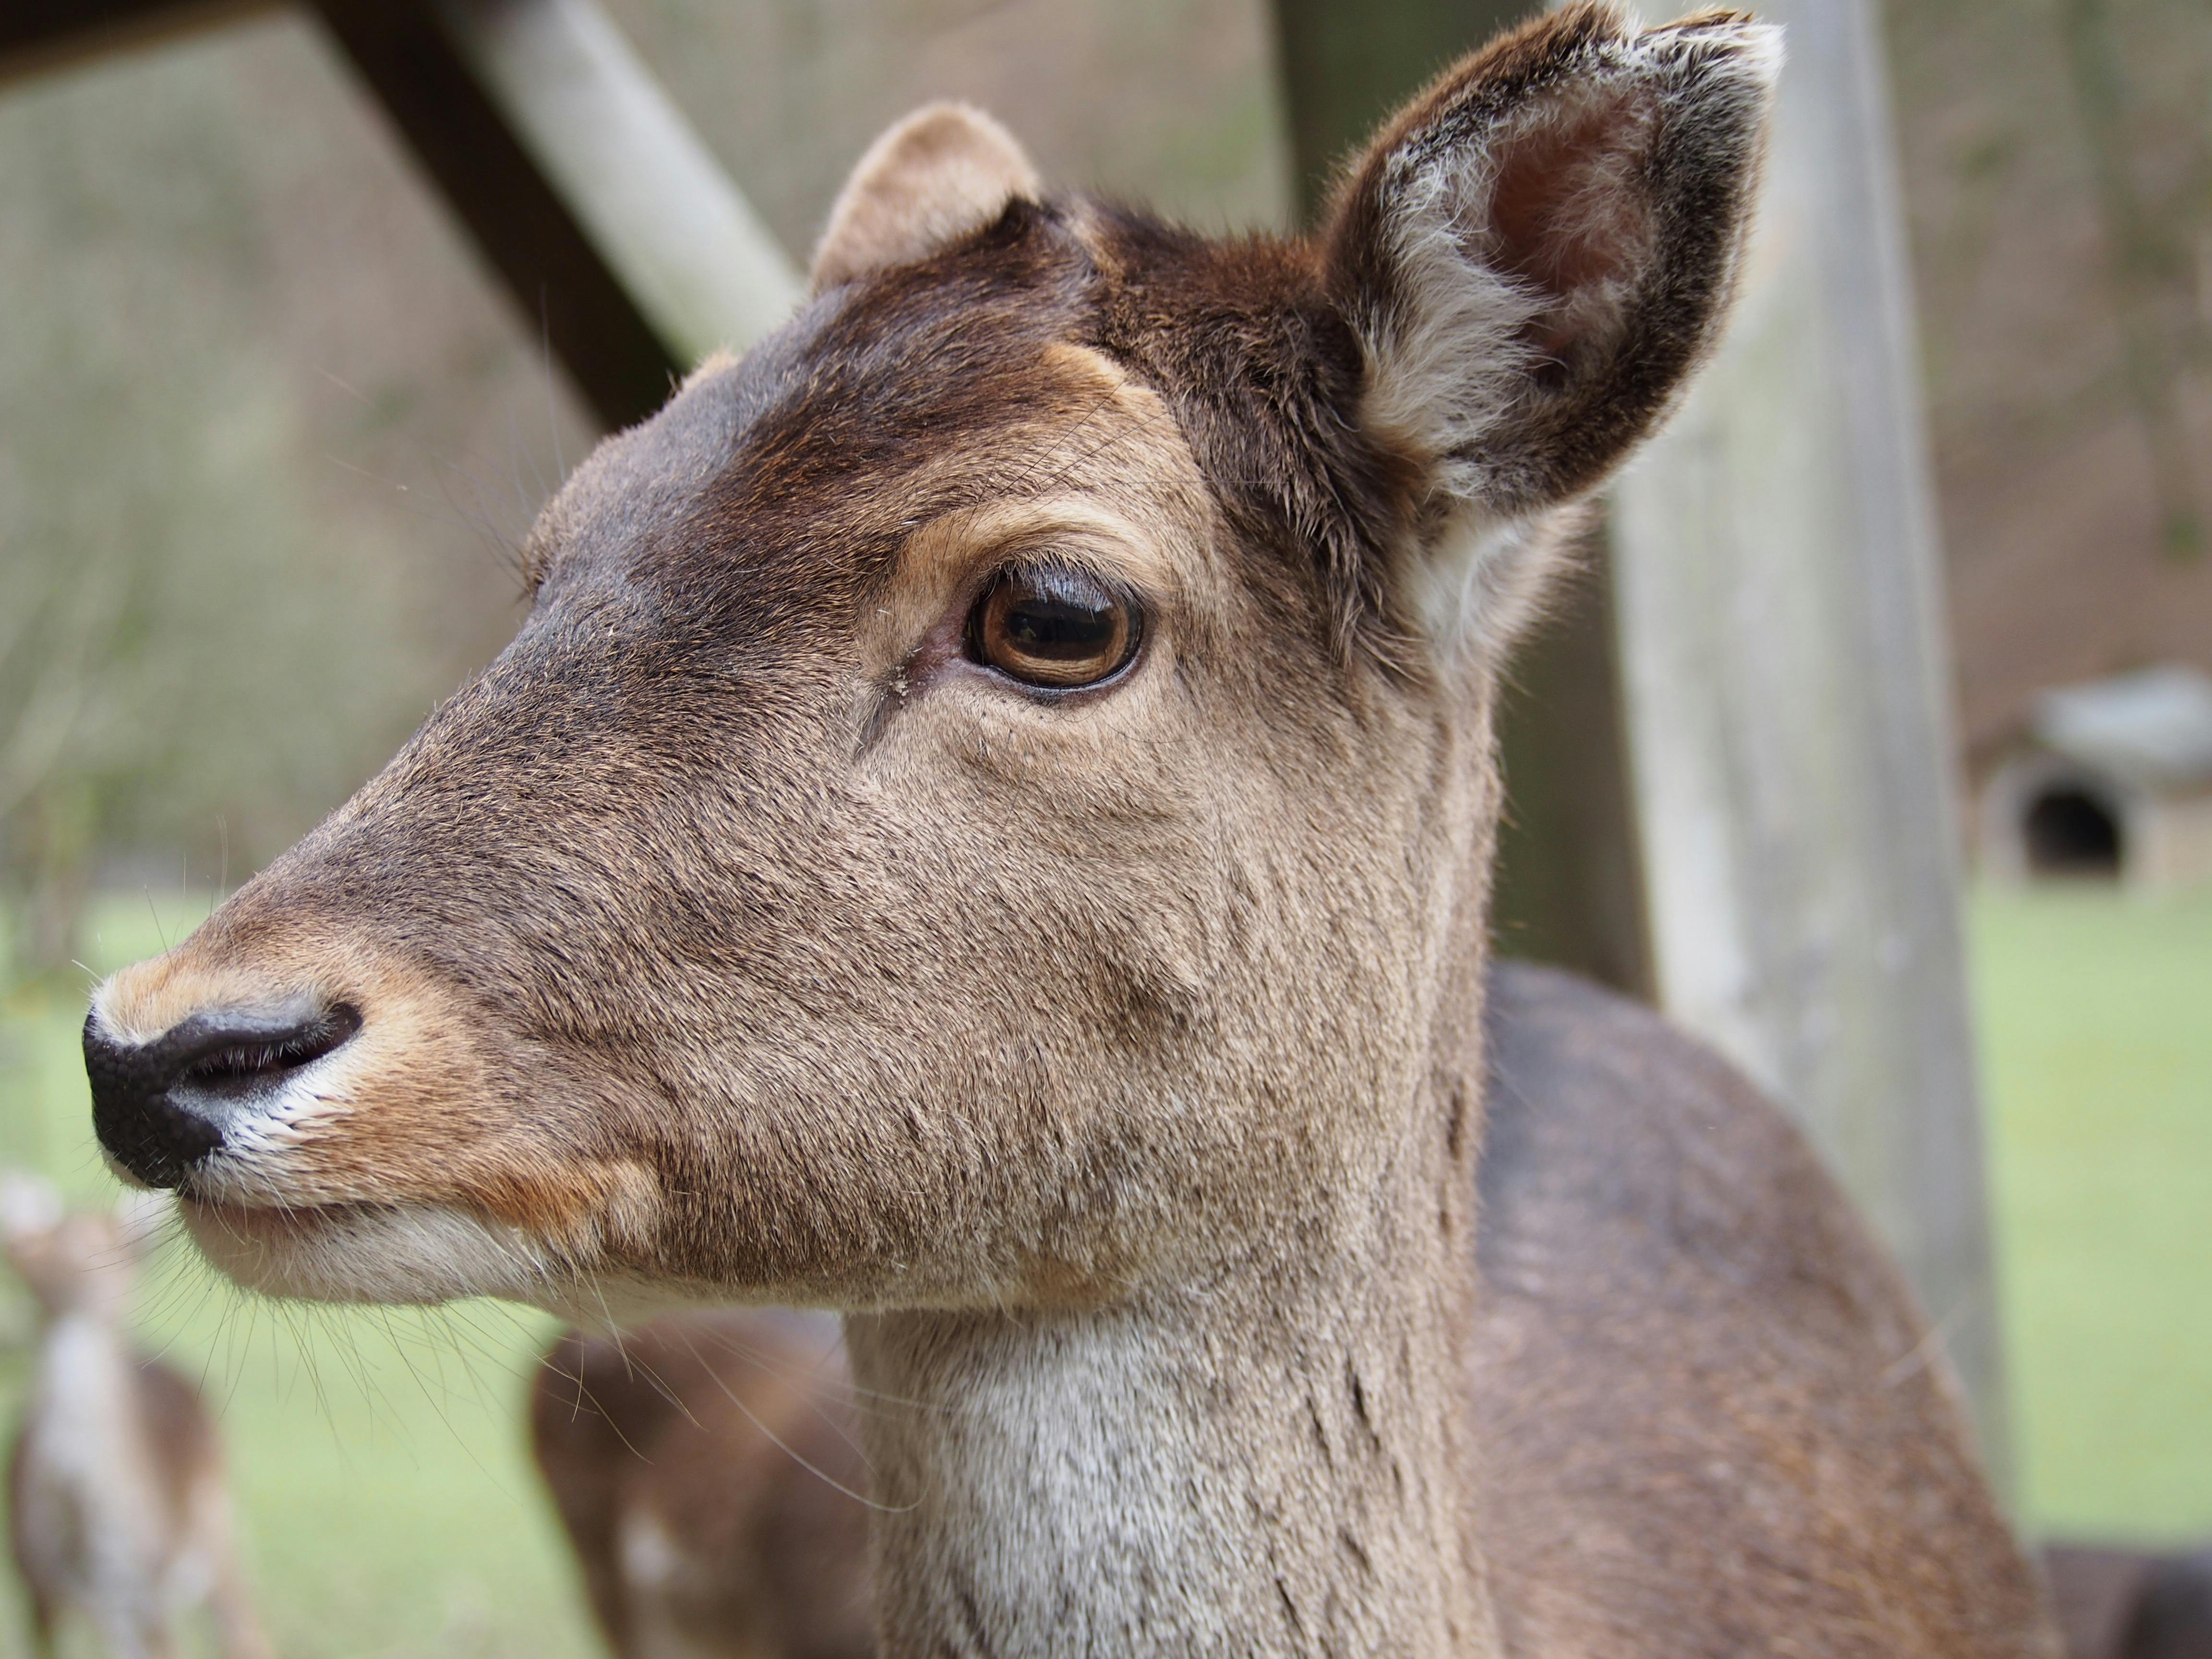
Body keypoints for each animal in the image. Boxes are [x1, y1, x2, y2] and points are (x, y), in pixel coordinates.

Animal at [2, 1177, 270, 1659]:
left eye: (111, 1244)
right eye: (30, 1246)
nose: (24, 1251)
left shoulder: (150, 1584)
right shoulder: (33, 1578)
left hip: (216, 1520)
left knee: (245, 1626)